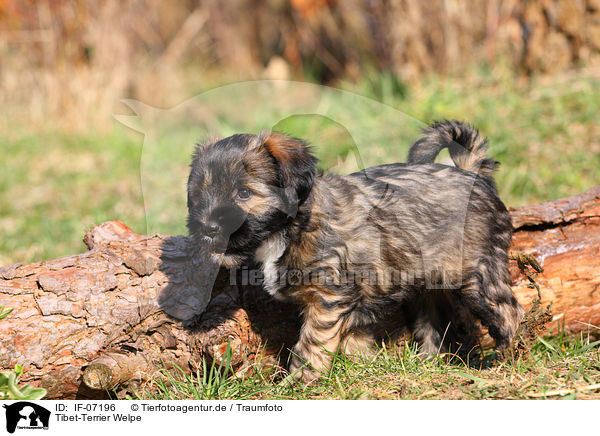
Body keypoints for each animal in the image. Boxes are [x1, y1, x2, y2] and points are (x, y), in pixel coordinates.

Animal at [188, 120, 524, 382]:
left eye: (244, 193)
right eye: (200, 196)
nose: (208, 228)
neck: (291, 226)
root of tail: (473, 175)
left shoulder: (329, 296)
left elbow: (312, 341)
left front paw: (300, 380)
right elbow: (352, 338)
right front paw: (359, 367)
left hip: (478, 273)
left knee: (509, 311)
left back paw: (499, 360)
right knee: (432, 320)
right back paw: (429, 360)